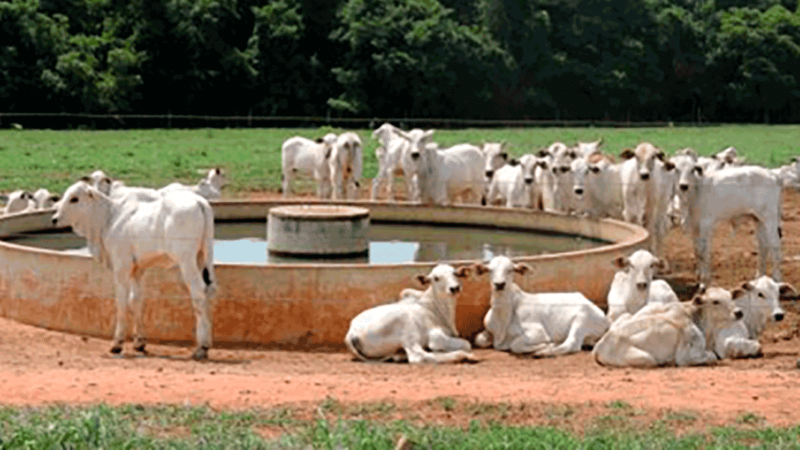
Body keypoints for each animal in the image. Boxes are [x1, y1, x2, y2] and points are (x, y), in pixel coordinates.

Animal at [51, 180, 217, 360]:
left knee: (198, 292)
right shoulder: (137, 269)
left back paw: (202, 347)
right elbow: (135, 301)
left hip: (186, 261)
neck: (108, 218)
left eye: (74, 199)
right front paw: (139, 342)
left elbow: (122, 303)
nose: (54, 219)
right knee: (207, 291)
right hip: (202, 257)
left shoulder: (121, 267)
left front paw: (117, 343)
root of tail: (198, 201)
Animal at [344, 264, 476, 363]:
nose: (454, 288)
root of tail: (351, 332)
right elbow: (466, 344)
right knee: (418, 356)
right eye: (436, 278)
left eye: (455, 273)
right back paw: (463, 356)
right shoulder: (435, 335)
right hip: (407, 330)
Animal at [472, 256, 610, 357]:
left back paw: (543, 352)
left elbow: (515, 345)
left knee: (571, 344)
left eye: (510, 270)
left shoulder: (538, 332)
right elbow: (478, 339)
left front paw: (546, 345)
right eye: (490, 270)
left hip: (581, 320)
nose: (499, 284)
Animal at [592, 285, 743, 367]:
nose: (739, 312)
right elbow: (712, 357)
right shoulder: (685, 357)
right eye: (715, 301)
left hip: (626, 316)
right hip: (648, 359)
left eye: (731, 297)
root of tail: (599, 347)